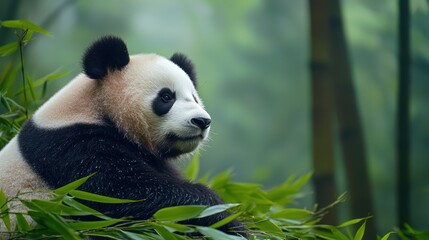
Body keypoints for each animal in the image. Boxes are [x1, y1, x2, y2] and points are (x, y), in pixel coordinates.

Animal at [0, 35, 244, 236]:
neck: (96, 107)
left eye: (194, 97)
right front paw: (224, 216)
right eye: (166, 96)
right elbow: (131, 194)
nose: (202, 121)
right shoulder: (73, 148)